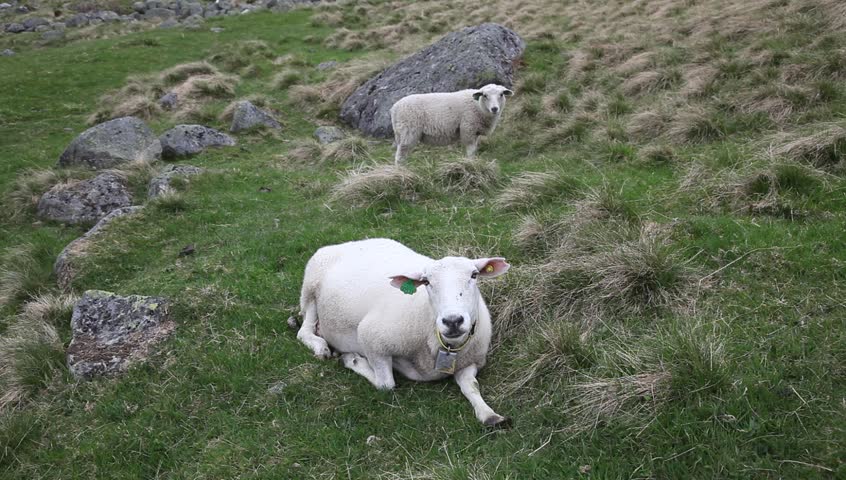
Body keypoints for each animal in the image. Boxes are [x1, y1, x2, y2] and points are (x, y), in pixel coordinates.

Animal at [296, 238, 512, 427]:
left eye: (474, 275)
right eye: (426, 282)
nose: (452, 321)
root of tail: (348, 243)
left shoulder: (472, 361)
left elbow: (471, 386)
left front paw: (489, 414)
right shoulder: (369, 338)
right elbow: (386, 384)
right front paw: (353, 359)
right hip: (309, 290)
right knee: (304, 329)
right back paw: (320, 346)